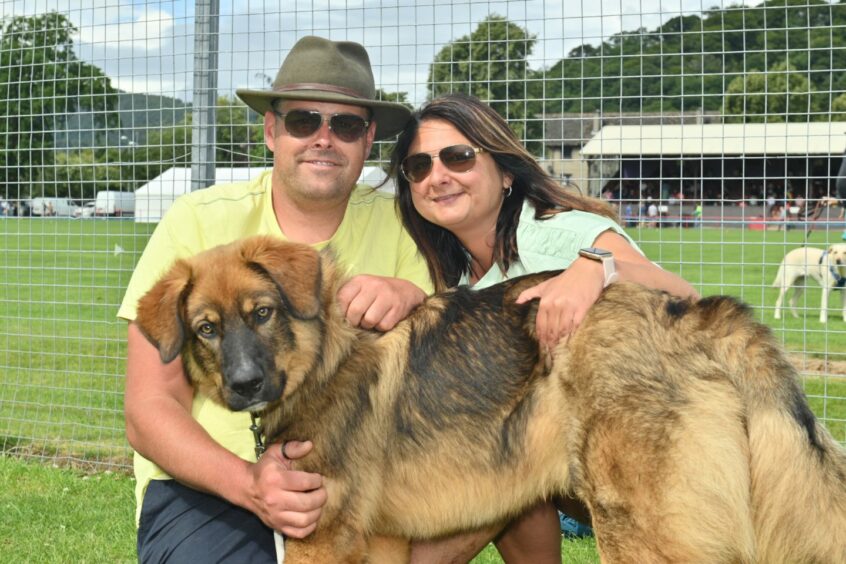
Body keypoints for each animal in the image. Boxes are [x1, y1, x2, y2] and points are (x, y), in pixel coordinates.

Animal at [136, 236, 846, 560]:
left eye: (261, 313)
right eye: (206, 329)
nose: (244, 385)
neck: (324, 355)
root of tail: (690, 313)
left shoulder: (322, 538)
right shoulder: (378, 540)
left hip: (639, 532)